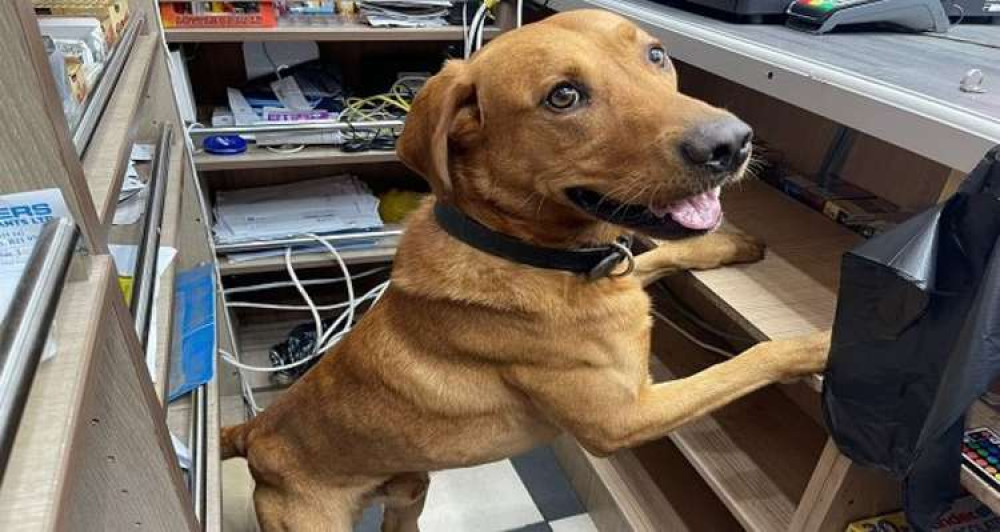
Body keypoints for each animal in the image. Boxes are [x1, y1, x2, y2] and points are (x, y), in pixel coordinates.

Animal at [223, 9, 832, 532]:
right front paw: (823, 345)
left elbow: (664, 254)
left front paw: (730, 246)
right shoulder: (625, 418)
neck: (528, 249)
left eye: (657, 55)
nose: (733, 143)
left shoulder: (625, 270)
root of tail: (254, 432)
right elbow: (752, 359)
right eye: (563, 96)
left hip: (410, 490)